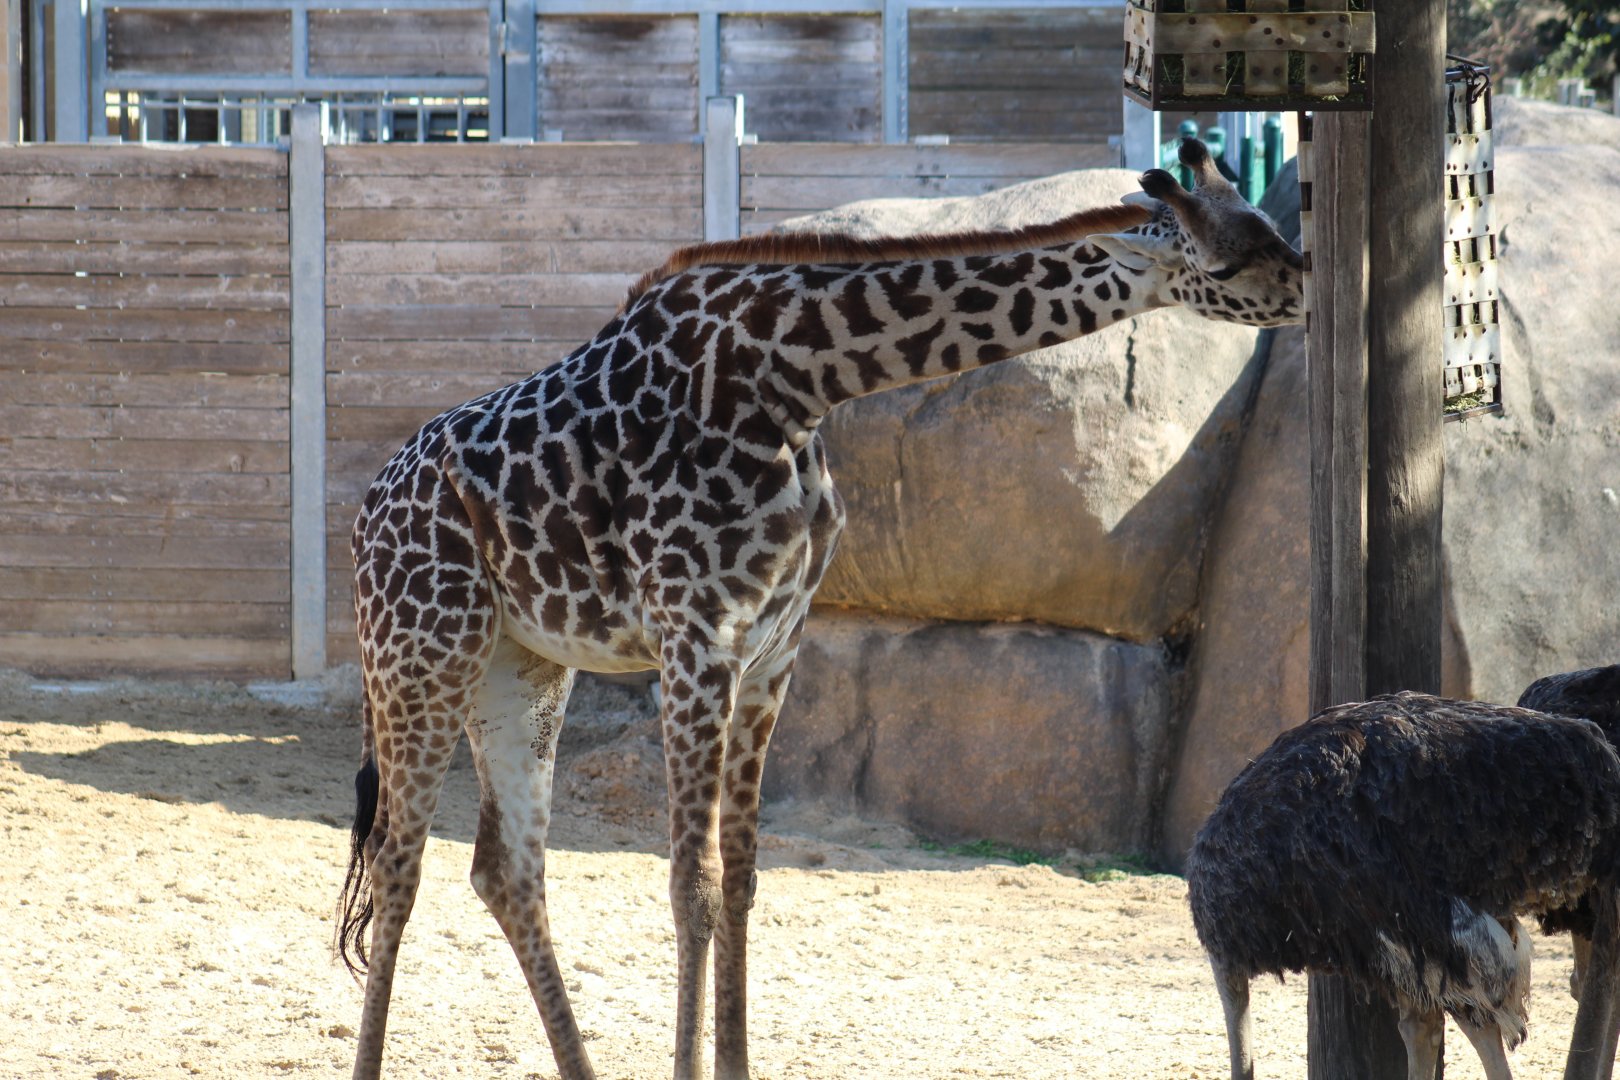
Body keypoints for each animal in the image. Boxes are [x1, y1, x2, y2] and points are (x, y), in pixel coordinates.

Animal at [334, 137, 1304, 1080]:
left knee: (504, 869)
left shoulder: (773, 650)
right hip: (422, 653)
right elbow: (691, 883)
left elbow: (742, 878)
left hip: (522, 668)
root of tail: (365, 516)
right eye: (1232, 253)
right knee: (397, 862)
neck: (798, 382)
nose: (1302, 287)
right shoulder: (696, 640)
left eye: (1267, 226)